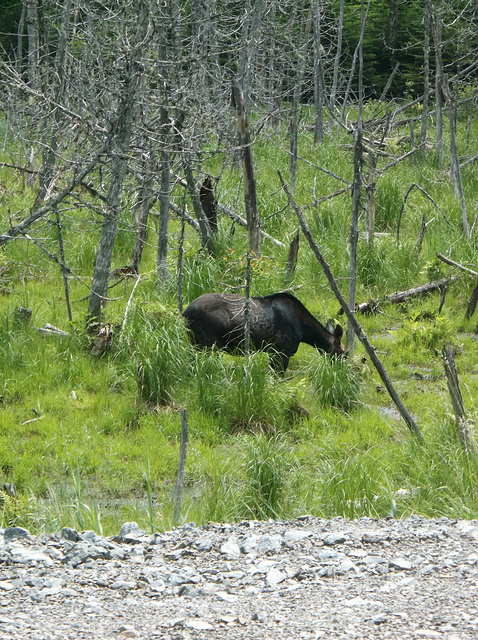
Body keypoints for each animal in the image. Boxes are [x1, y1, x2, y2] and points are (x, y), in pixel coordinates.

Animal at [181, 292, 346, 372]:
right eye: (345, 353)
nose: (344, 371)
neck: (305, 332)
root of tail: (185, 313)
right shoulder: (281, 351)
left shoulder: (273, 352)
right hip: (208, 344)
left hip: (195, 343)